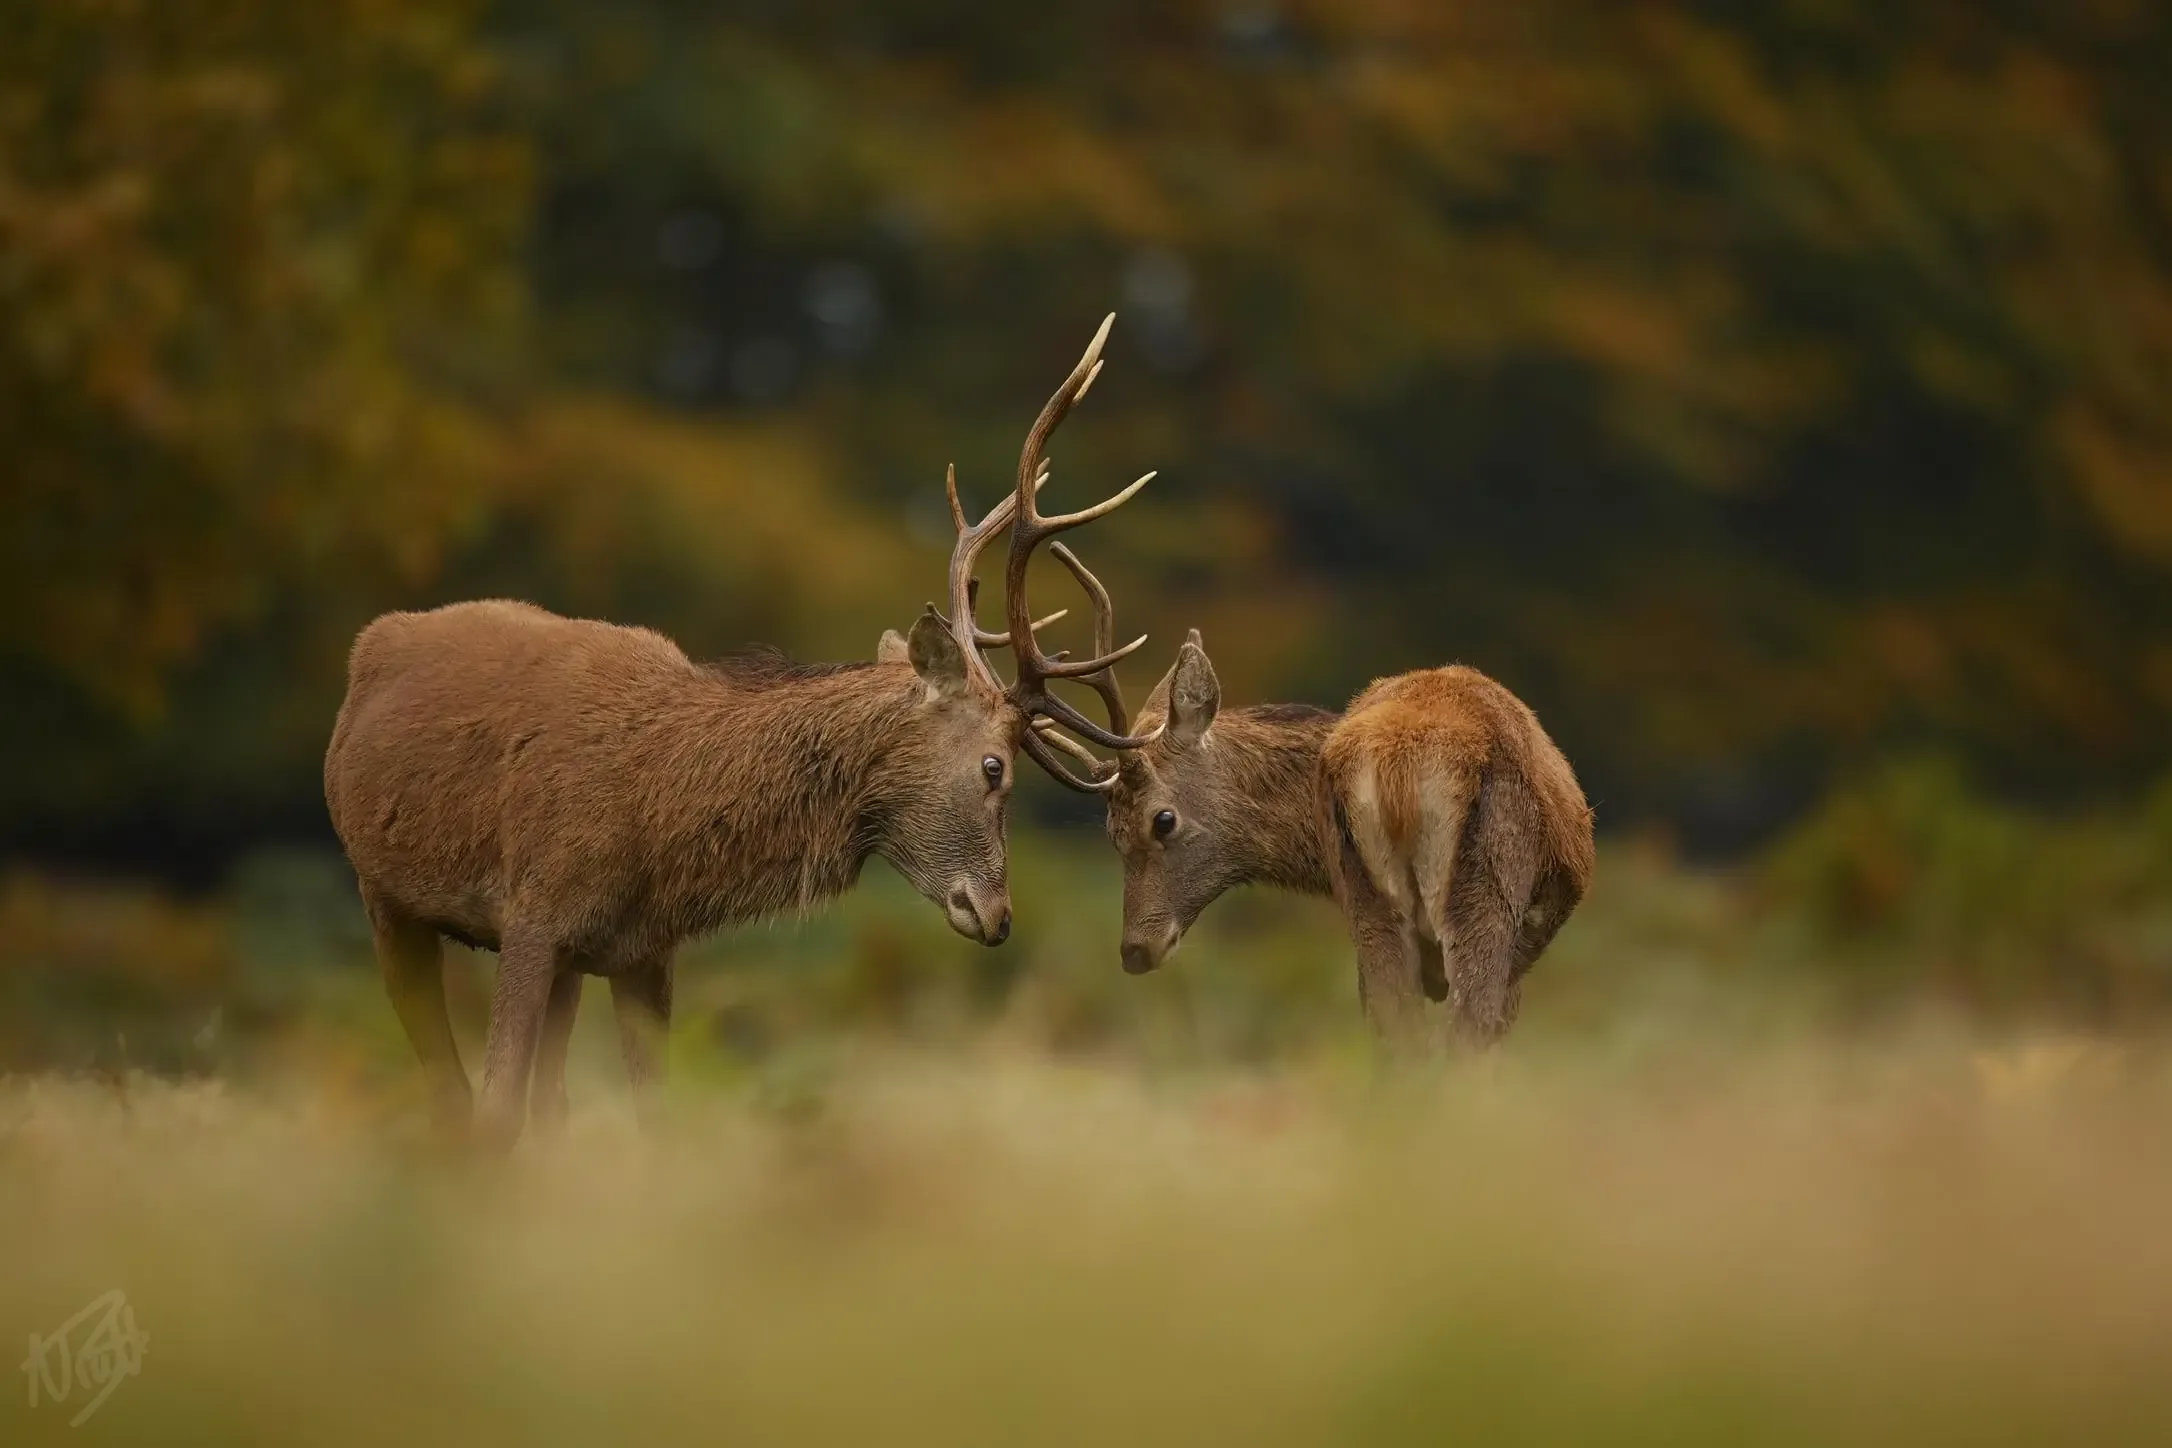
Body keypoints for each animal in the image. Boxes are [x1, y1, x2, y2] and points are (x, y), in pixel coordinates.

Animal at [324, 315, 1162, 1147]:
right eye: (995, 768)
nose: (998, 916)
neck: (654, 825)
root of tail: (373, 642)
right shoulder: (533, 912)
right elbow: (497, 1106)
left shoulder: (638, 949)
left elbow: (651, 1116)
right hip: (381, 893)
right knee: (451, 1088)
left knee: (547, 1102)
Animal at [1027, 605, 1594, 1055]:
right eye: (1112, 831)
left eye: (1160, 820)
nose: (1134, 952)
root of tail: (1397, 760)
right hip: (1488, 886)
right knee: (1462, 1037)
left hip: (1371, 900)